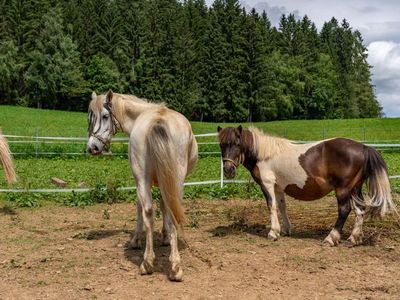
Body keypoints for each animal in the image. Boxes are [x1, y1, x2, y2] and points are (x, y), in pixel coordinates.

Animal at [86, 90, 198, 280]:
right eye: (90, 118)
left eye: (106, 116)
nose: (92, 148)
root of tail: (158, 120)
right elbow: (163, 207)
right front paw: (166, 237)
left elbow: (141, 207)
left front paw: (137, 240)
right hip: (176, 181)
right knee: (165, 210)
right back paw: (172, 266)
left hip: (143, 180)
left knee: (147, 210)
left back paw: (149, 263)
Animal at [219, 126, 396, 246]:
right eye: (221, 145)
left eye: (236, 143)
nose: (228, 170)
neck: (264, 154)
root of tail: (364, 148)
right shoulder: (278, 187)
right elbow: (282, 206)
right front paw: (285, 230)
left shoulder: (267, 184)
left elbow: (272, 206)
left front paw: (273, 232)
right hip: (355, 188)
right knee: (360, 209)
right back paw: (354, 238)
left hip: (343, 189)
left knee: (345, 210)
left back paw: (331, 238)